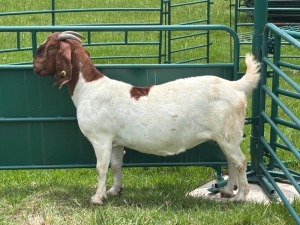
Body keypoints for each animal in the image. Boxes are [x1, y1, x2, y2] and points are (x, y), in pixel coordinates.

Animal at [33, 30, 260, 205]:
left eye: (50, 48)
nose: (34, 66)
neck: (89, 87)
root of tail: (235, 86)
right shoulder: (116, 141)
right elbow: (116, 164)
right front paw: (114, 191)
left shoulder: (101, 138)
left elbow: (101, 167)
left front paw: (98, 198)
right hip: (224, 136)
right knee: (231, 160)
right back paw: (228, 191)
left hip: (228, 133)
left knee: (240, 161)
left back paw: (240, 196)